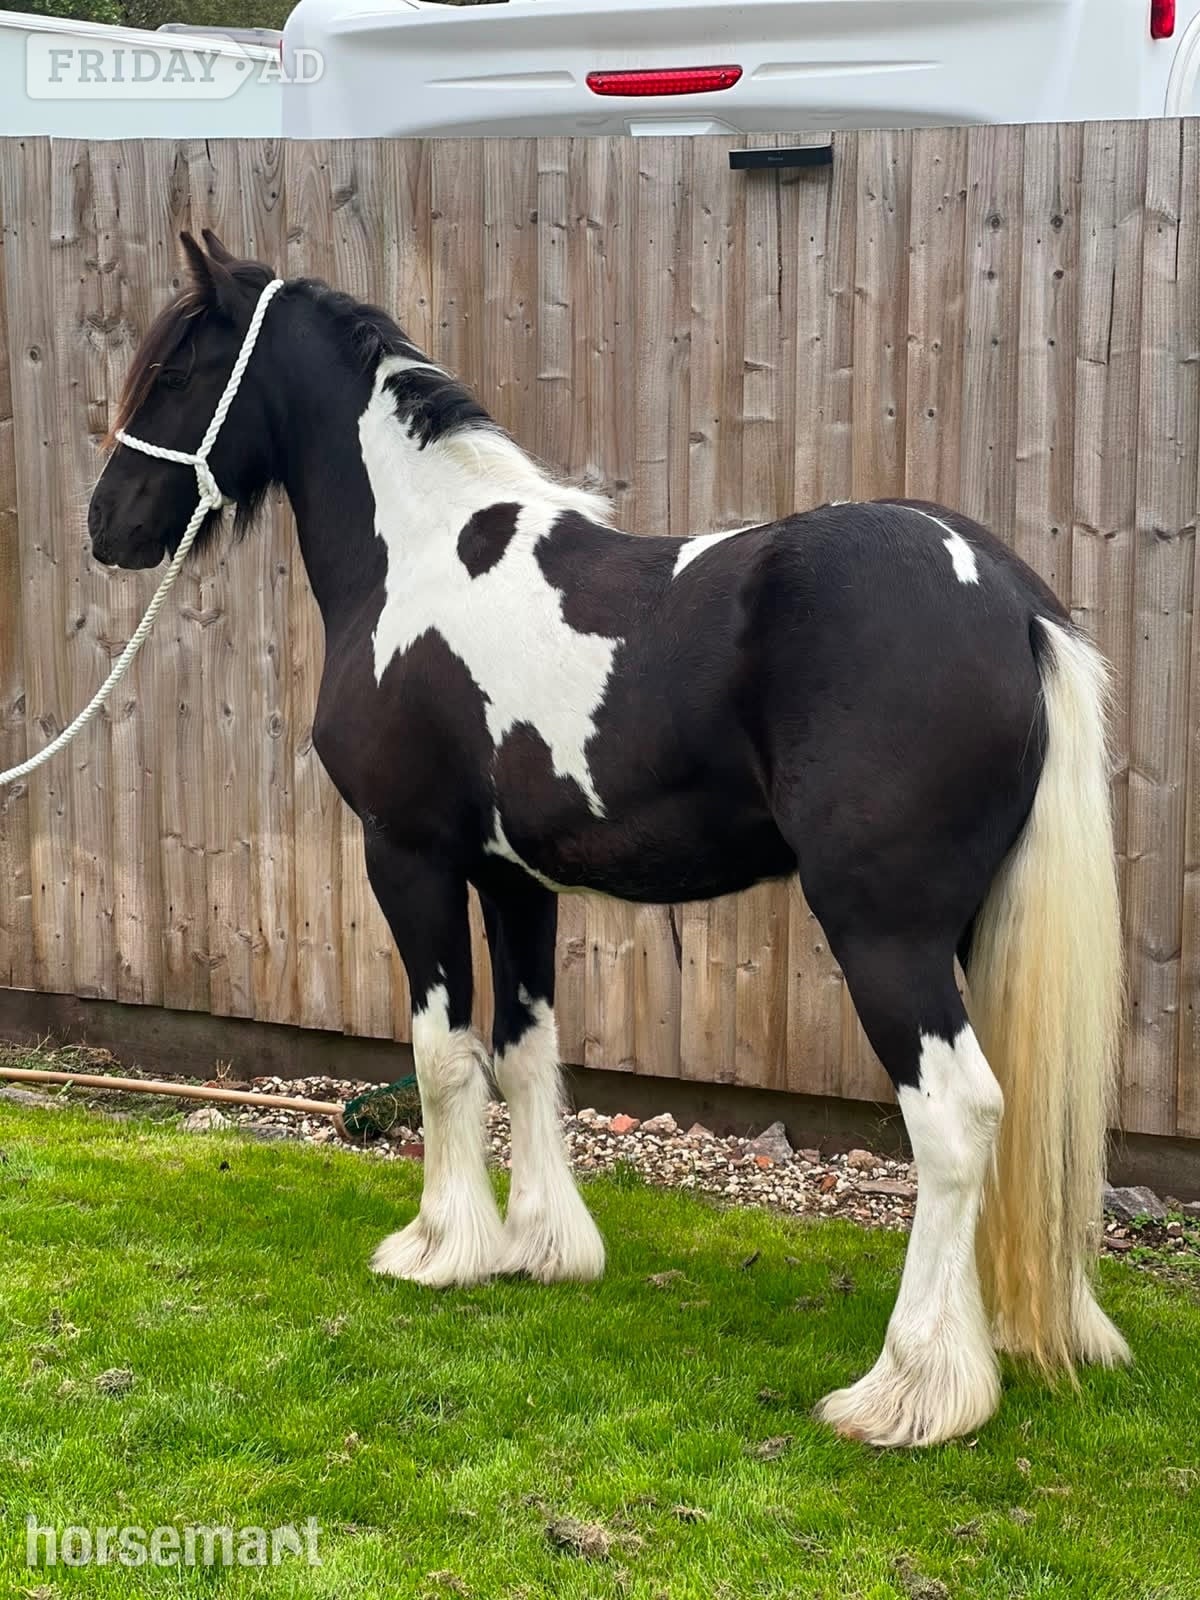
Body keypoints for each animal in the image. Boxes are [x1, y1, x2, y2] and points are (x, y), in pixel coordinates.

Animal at [86, 230, 1130, 1449]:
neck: (423, 553)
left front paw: (439, 1249)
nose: (105, 525)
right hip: (967, 928)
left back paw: (909, 1388)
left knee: (957, 1117)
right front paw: (543, 1248)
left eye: (173, 372)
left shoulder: (410, 855)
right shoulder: (516, 877)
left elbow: (442, 1055)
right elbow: (524, 1047)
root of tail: (1010, 598)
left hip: (886, 933)